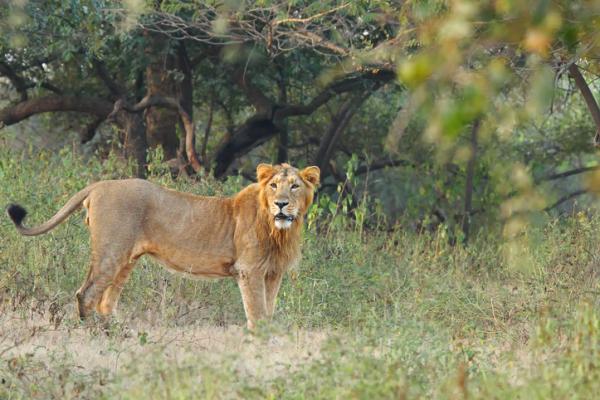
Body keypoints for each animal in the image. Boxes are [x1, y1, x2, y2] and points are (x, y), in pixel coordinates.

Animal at [7, 163, 322, 332]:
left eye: (294, 186)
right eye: (274, 186)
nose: (281, 204)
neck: (279, 230)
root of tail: (98, 185)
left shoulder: (273, 273)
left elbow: (268, 312)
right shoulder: (249, 271)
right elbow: (257, 314)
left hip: (127, 260)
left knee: (105, 301)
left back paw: (119, 332)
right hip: (111, 252)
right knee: (86, 294)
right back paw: (95, 335)